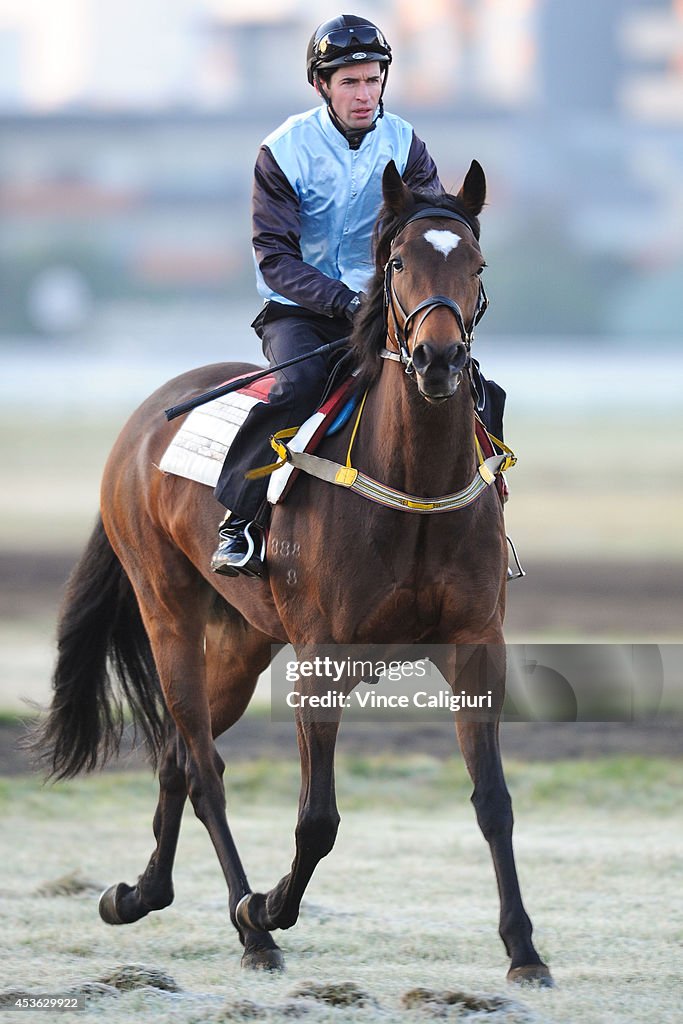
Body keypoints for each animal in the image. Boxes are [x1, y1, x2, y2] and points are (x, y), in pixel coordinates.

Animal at [34, 157, 552, 983]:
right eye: (396, 262)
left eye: (474, 263)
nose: (439, 360)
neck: (412, 484)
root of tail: (145, 417)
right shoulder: (320, 659)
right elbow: (317, 820)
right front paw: (268, 906)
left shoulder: (474, 644)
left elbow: (492, 801)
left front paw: (524, 951)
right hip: (168, 613)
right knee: (204, 768)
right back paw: (250, 929)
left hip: (241, 643)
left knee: (178, 756)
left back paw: (140, 894)